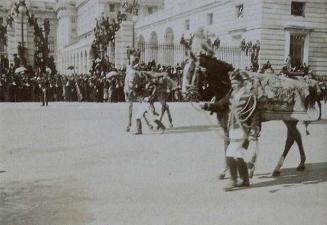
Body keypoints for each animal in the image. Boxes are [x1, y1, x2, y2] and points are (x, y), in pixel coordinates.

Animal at [184, 54, 316, 178]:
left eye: (192, 71)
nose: (185, 94)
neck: (229, 87)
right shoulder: (225, 125)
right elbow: (227, 145)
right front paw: (227, 170)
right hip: (289, 120)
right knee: (297, 137)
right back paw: (300, 163)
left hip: (289, 120)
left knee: (291, 139)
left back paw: (278, 168)